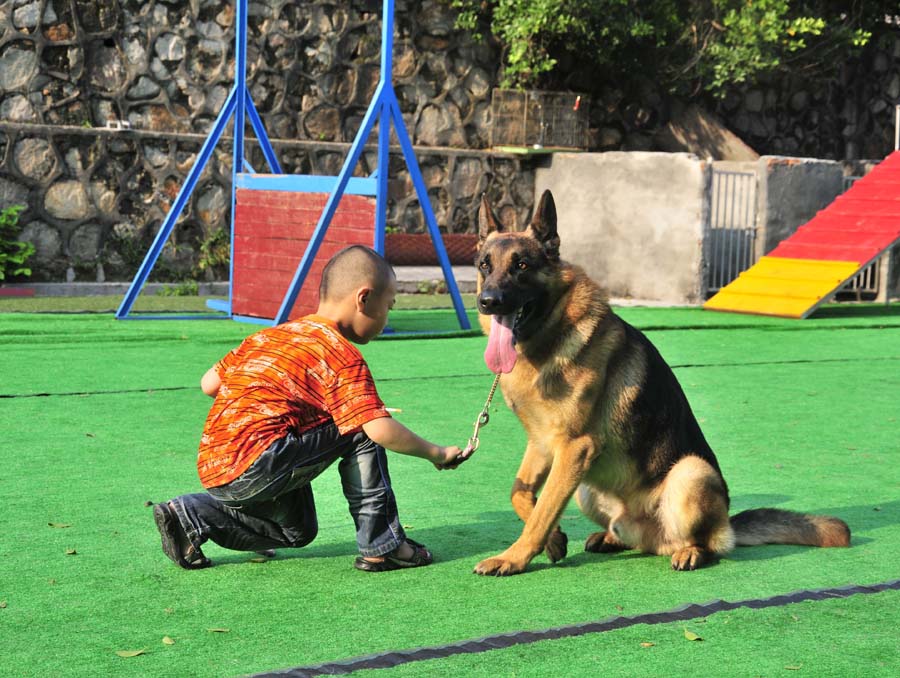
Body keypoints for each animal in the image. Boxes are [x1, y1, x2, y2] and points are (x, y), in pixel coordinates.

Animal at [474, 191, 848, 580]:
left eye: (521, 266)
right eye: (485, 265)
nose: (488, 301)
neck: (547, 337)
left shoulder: (574, 448)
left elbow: (543, 512)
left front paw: (514, 557)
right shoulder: (543, 444)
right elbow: (522, 496)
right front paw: (553, 540)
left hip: (689, 472)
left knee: (705, 543)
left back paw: (690, 553)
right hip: (587, 492)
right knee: (635, 537)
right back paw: (611, 538)